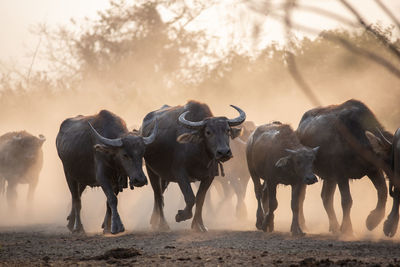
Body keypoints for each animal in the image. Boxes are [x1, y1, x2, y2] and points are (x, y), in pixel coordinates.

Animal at [141, 100, 247, 232]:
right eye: (208, 132)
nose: (224, 152)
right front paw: (180, 216)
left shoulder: (209, 177)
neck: (200, 154)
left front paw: (199, 225)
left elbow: (200, 199)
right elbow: (190, 197)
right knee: (157, 193)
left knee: (160, 193)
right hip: (151, 170)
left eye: (227, 130)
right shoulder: (180, 174)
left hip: (164, 176)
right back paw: (162, 224)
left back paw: (154, 221)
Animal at [296, 100, 390, 237]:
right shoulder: (341, 174)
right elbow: (346, 200)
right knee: (301, 196)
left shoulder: (373, 170)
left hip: (329, 177)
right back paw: (303, 225)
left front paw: (372, 221)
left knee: (326, 197)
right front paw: (347, 229)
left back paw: (334, 226)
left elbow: (383, 191)